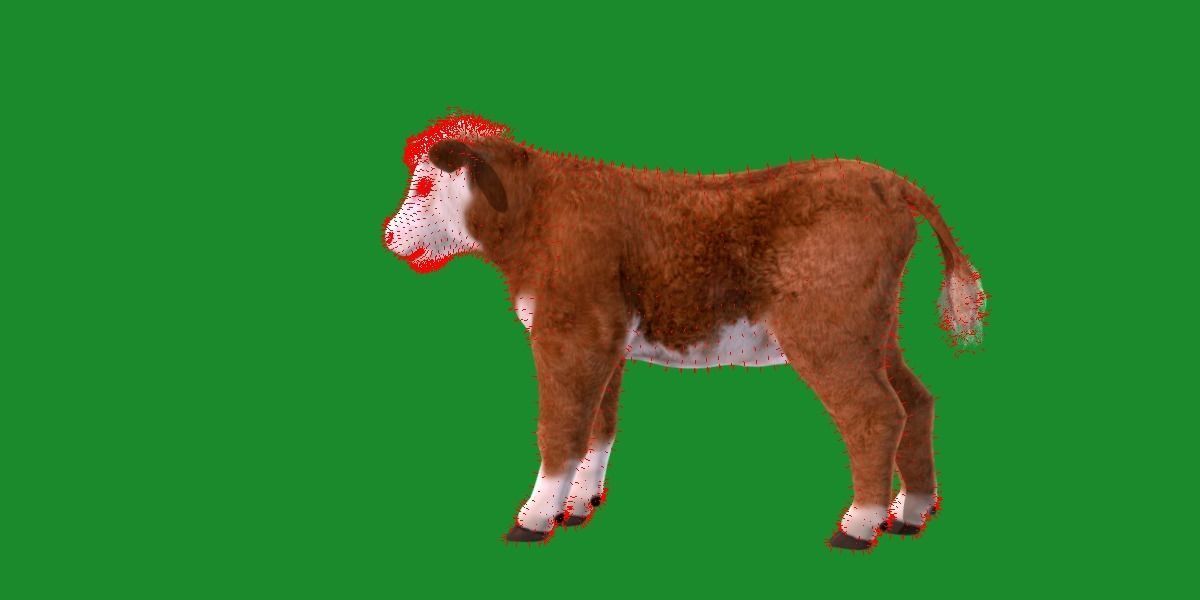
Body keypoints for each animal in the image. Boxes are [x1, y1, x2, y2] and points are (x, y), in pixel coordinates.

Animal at [382, 112, 987, 550]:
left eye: (427, 183)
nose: (388, 233)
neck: (537, 217)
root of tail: (885, 178)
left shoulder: (569, 332)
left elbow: (560, 430)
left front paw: (533, 518)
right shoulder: (605, 341)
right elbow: (598, 428)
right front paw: (577, 508)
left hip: (829, 333)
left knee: (876, 413)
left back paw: (858, 526)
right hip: (876, 333)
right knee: (917, 402)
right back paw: (910, 514)